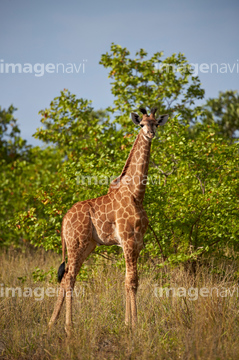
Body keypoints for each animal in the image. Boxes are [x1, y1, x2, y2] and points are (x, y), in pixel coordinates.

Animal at [48, 106, 168, 334]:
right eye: (141, 124)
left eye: (156, 123)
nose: (151, 134)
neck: (137, 193)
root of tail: (64, 219)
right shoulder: (128, 239)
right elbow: (132, 281)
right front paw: (135, 325)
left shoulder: (136, 242)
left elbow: (128, 280)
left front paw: (127, 323)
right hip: (76, 243)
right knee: (69, 278)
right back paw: (68, 326)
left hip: (88, 245)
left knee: (66, 276)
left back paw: (51, 323)